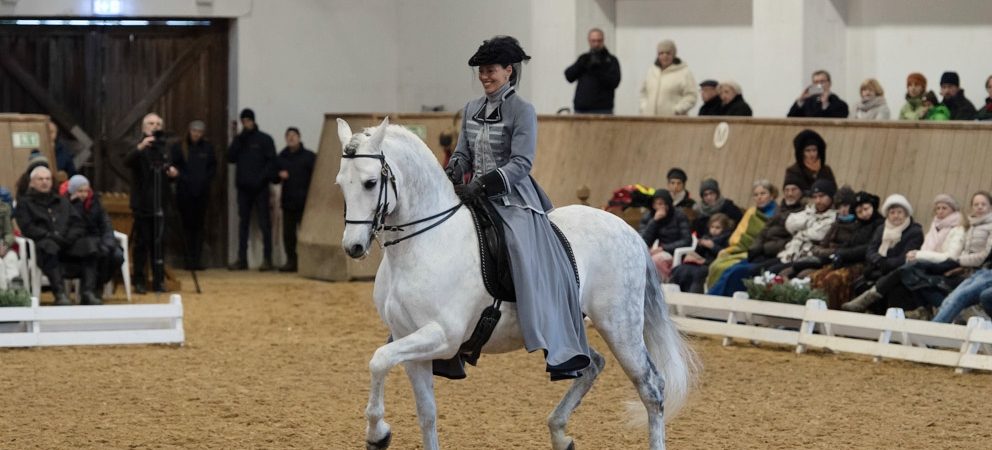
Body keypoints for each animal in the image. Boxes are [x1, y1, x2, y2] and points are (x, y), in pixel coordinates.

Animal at [338, 117, 692, 450]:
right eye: (341, 184)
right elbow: (425, 411)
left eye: (371, 183)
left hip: (619, 326)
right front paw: (381, 432)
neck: (425, 241)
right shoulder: (409, 339)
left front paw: (377, 434)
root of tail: (628, 230)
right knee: (593, 364)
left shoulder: (443, 336)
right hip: (567, 328)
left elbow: (378, 360)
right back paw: (560, 435)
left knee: (651, 387)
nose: (353, 247)